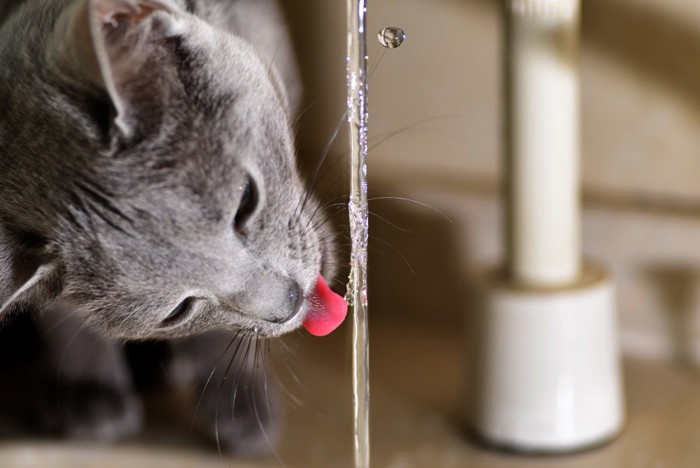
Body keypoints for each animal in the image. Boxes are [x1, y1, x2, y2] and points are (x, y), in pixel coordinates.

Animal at [0, 0, 348, 456]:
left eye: (245, 201)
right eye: (178, 311)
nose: (289, 302)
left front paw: (238, 399)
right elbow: (64, 315)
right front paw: (88, 389)